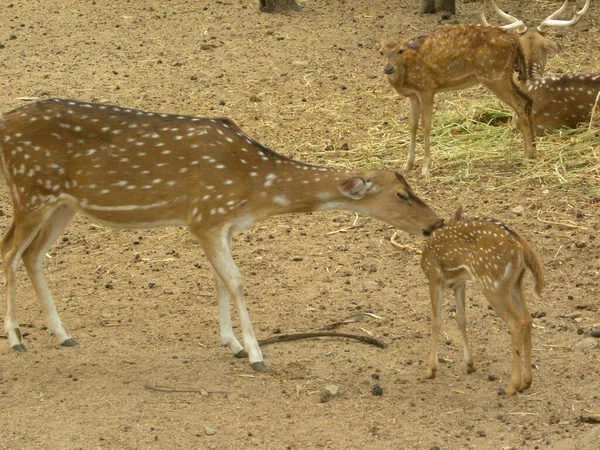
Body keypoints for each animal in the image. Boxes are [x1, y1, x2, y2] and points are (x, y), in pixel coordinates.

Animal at [0, 98, 440, 372]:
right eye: (401, 194)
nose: (434, 223)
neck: (255, 189)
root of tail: (4, 124)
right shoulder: (204, 217)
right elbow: (237, 281)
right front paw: (256, 355)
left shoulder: (222, 224)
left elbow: (219, 281)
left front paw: (233, 344)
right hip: (31, 190)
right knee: (9, 252)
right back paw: (17, 338)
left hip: (63, 204)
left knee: (32, 255)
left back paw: (63, 335)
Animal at [376, 23, 536, 177]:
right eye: (381, 52)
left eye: (400, 50)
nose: (388, 68)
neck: (406, 74)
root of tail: (515, 40)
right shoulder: (413, 95)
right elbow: (412, 125)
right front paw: (407, 164)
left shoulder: (427, 88)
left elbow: (426, 125)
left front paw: (426, 168)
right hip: (505, 76)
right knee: (528, 100)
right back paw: (534, 149)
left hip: (494, 75)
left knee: (519, 105)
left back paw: (527, 156)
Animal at [422, 206, 544, 396]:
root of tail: (522, 247)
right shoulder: (459, 283)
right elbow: (461, 319)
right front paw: (469, 364)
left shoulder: (434, 278)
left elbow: (436, 321)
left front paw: (430, 369)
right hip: (514, 285)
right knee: (528, 319)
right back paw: (526, 382)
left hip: (492, 285)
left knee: (516, 323)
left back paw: (512, 386)